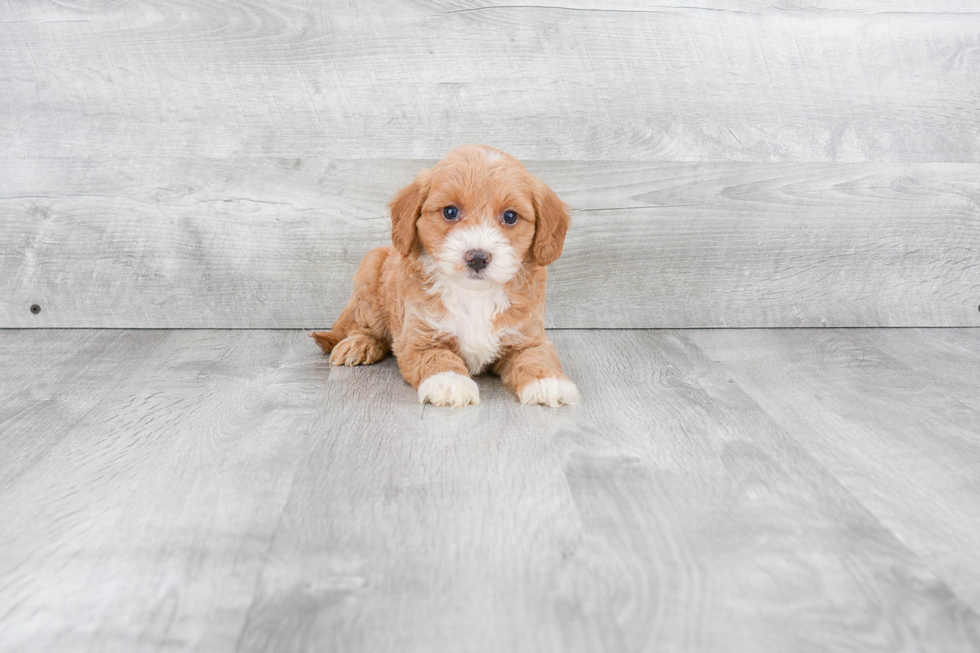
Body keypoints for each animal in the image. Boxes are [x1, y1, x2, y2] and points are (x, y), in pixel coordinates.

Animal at [310, 145, 580, 408]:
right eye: (450, 212)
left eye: (510, 216)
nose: (477, 257)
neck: (474, 293)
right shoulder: (419, 338)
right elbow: (437, 357)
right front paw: (450, 383)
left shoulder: (527, 335)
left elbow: (537, 356)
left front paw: (548, 382)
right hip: (370, 271)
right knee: (363, 326)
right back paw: (359, 344)